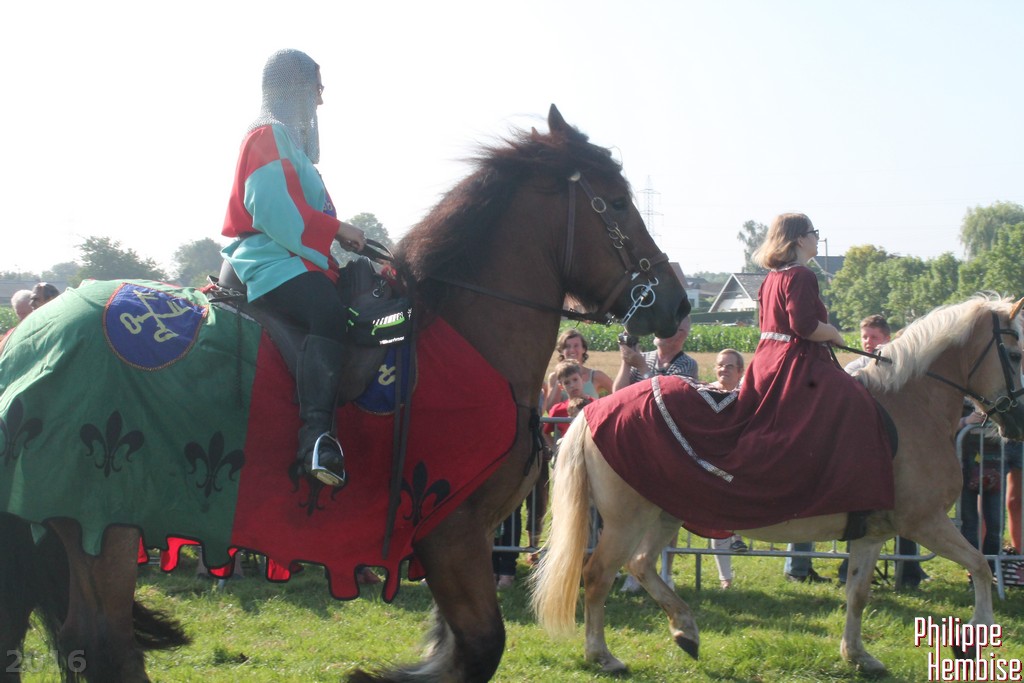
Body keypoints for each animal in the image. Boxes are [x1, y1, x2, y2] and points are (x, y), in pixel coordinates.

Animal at [0, 105, 688, 683]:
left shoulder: (459, 542)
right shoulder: (453, 534)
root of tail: (28, 341)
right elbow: (479, 649)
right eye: (618, 203)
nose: (679, 305)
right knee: (105, 645)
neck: (467, 334)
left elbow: (457, 652)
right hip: (102, 521)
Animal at [531, 296, 1024, 676]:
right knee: (598, 576)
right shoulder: (924, 522)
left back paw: (685, 629)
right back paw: (603, 655)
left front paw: (858, 655)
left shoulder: (873, 532)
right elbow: (980, 565)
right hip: (625, 521)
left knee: (640, 566)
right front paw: (972, 640)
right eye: (1016, 354)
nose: (1017, 419)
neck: (910, 404)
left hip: (663, 514)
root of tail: (592, 412)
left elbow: (858, 593)